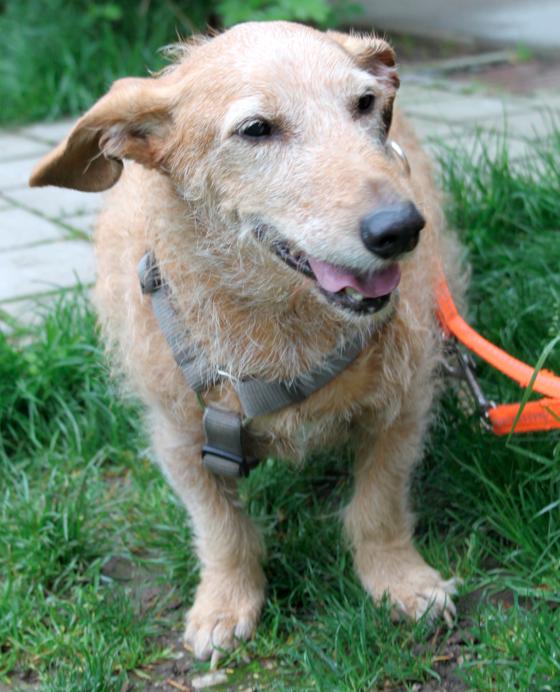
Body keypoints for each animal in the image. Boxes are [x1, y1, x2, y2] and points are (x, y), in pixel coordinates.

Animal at [28, 20, 462, 660]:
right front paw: (225, 603)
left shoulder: (399, 414)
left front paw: (399, 580)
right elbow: (222, 529)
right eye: (256, 129)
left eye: (364, 104)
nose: (401, 229)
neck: (277, 322)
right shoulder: (180, 440)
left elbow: (378, 507)